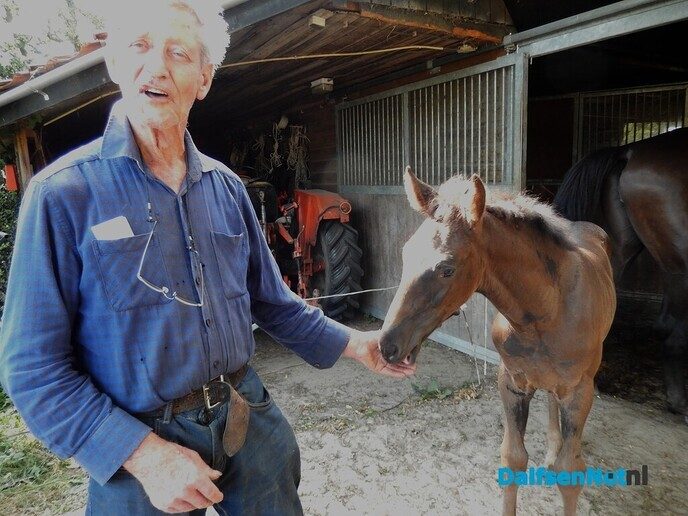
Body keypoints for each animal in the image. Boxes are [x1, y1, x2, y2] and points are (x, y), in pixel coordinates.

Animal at [379, 167, 616, 516]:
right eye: (406, 252)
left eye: (447, 269)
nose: (388, 345)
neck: (547, 311)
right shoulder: (512, 382)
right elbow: (513, 459)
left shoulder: (578, 392)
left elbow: (570, 471)